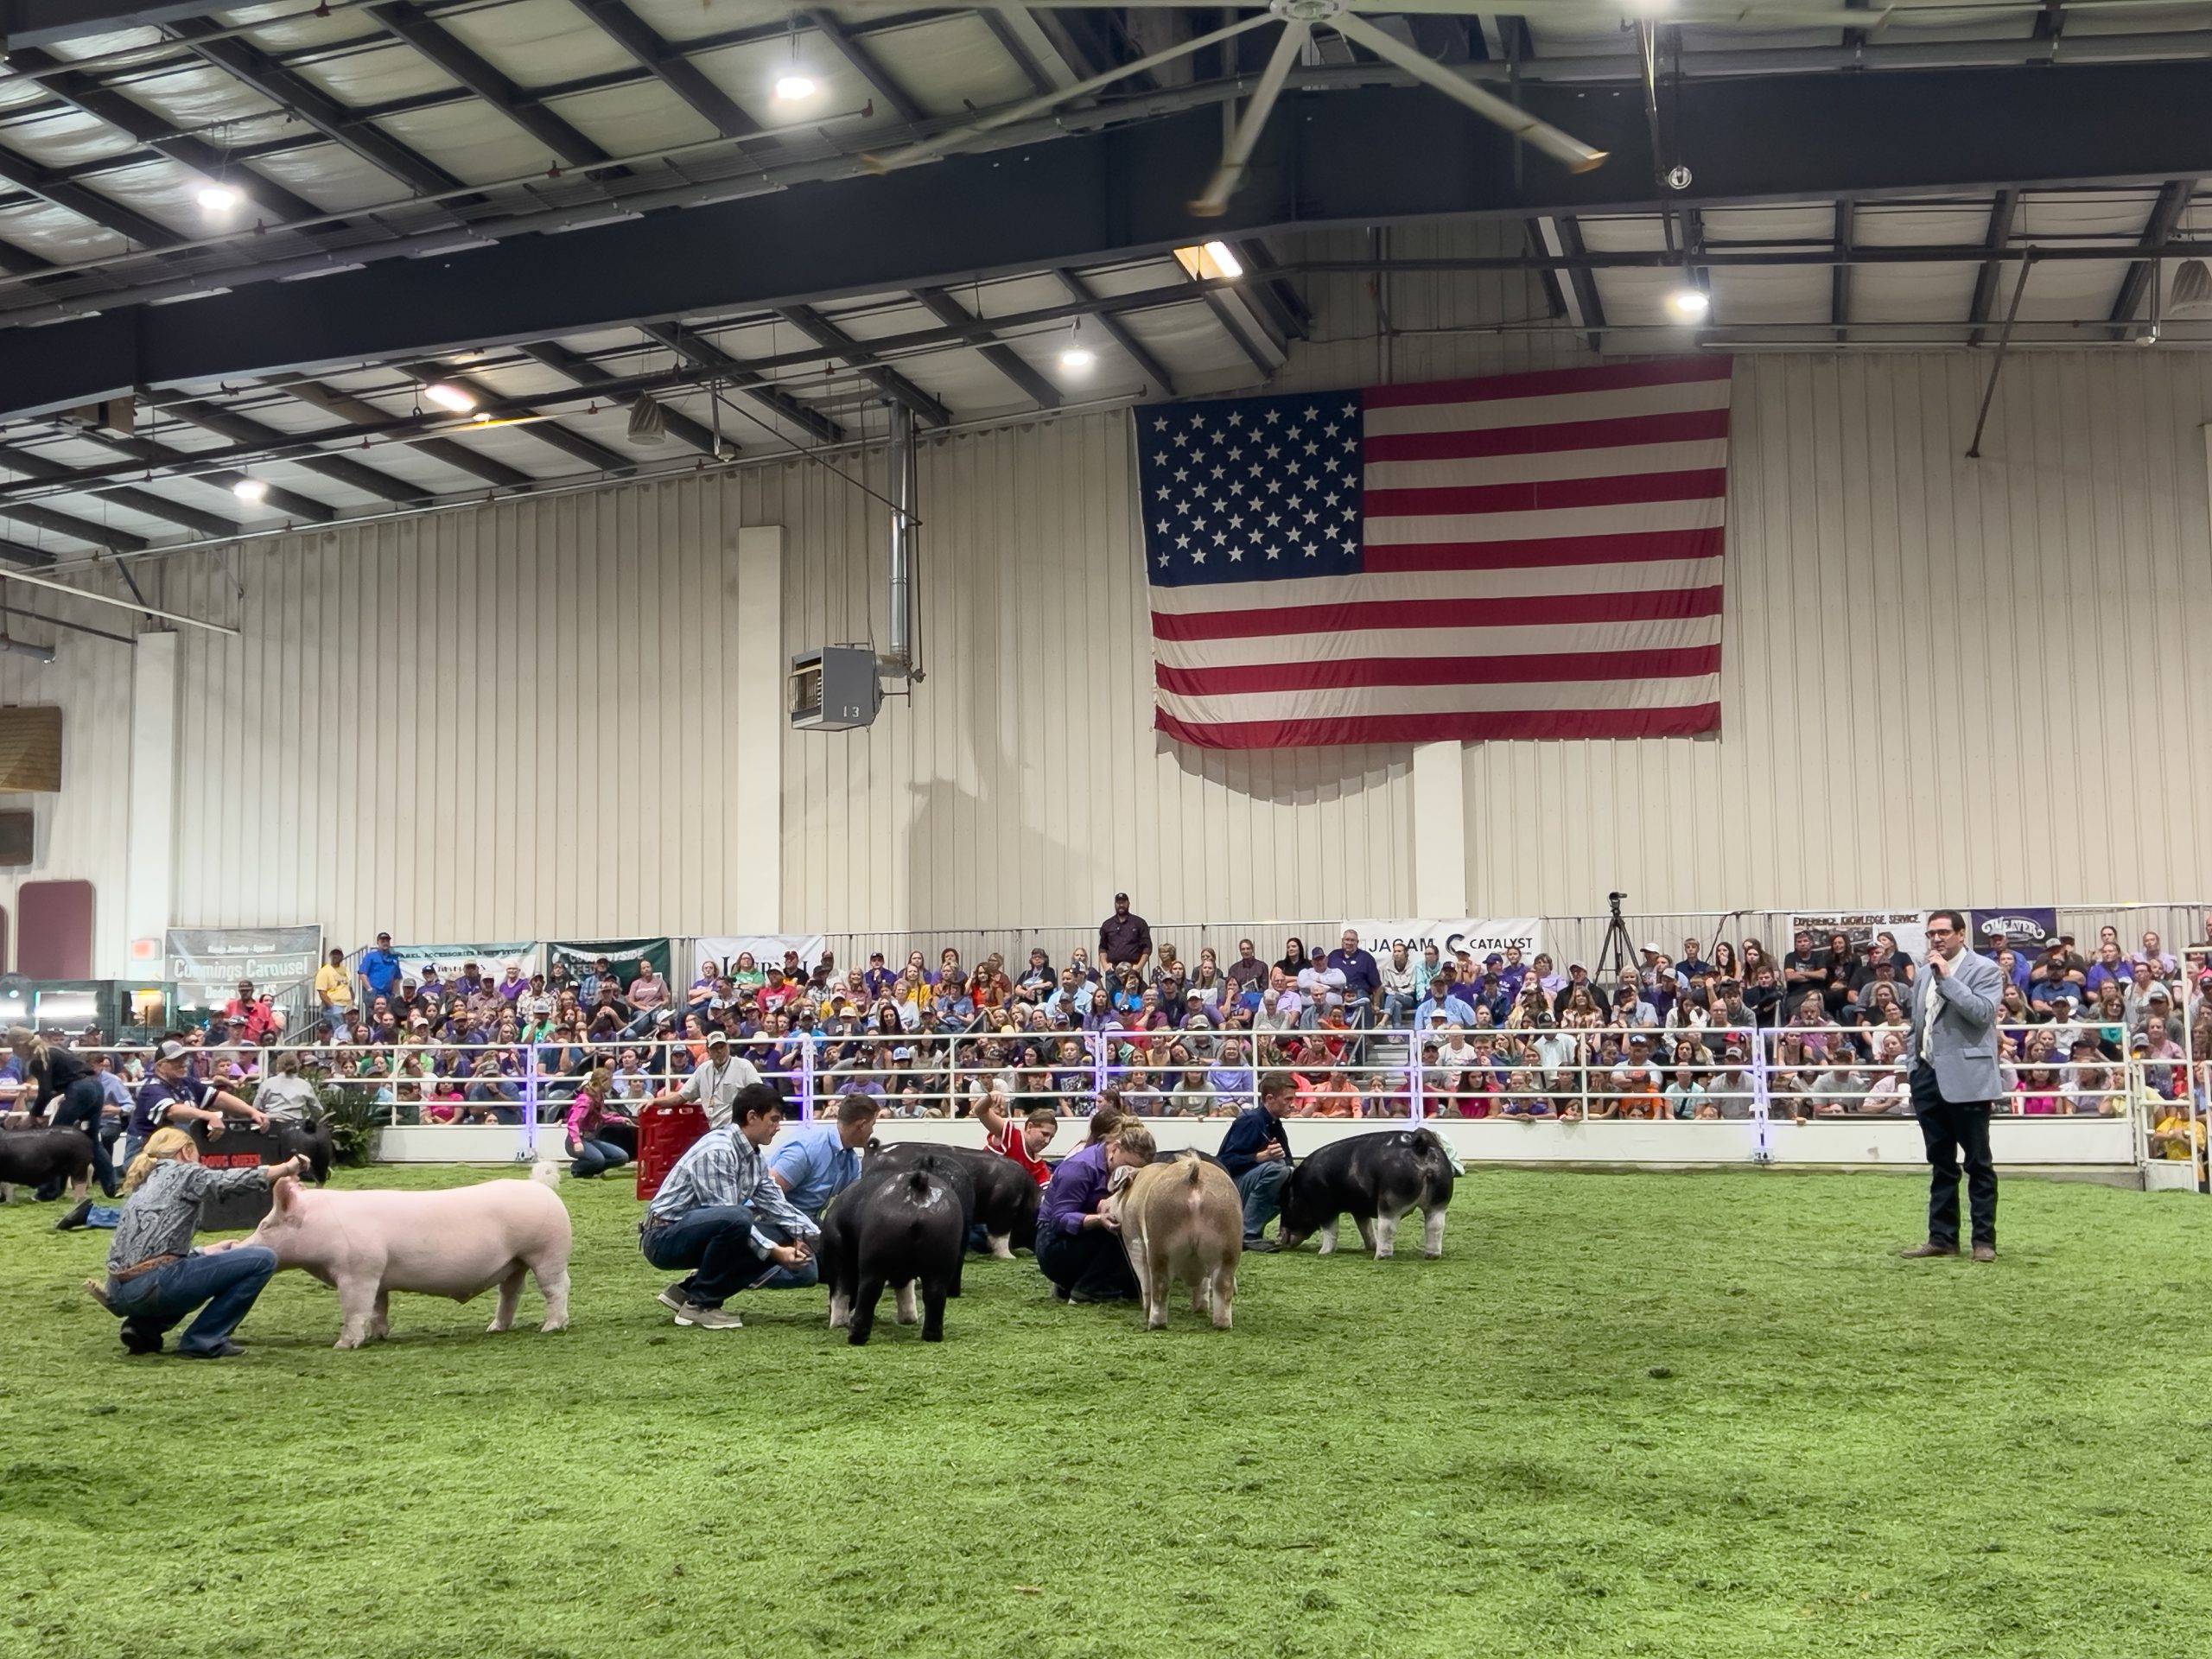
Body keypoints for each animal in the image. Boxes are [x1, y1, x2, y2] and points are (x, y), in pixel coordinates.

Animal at [247, 1167, 575, 1353]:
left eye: (265, 1225)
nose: (243, 1244)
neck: (322, 1225)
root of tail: (541, 1186)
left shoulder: (358, 1272)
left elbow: (354, 1310)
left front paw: (342, 1345)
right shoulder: (377, 1275)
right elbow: (378, 1308)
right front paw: (379, 1336)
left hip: (546, 1252)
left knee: (556, 1288)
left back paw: (551, 1327)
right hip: (515, 1263)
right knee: (511, 1292)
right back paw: (494, 1328)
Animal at [823, 1159, 969, 1353]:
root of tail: (918, 1186)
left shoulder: (839, 1258)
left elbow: (841, 1292)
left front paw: (836, 1324)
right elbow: (905, 1291)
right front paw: (908, 1320)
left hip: (873, 1261)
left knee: (868, 1293)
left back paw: (854, 1337)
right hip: (942, 1257)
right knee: (935, 1294)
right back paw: (931, 1336)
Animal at [1282, 1132, 1451, 1256]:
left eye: (1285, 1205)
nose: (1279, 1239)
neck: (1301, 1191)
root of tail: (1420, 1147)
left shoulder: (1325, 1208)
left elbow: (1331, 1230)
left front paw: (1322, 1253)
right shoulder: (1358, 1209)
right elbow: (1366, 1228)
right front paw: (1370, 1246)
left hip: (1390, 1200)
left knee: (1387, 1227)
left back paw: (1380, 1256)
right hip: (1439, 1201)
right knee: (1435, 1226)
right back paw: (1431, 1255)